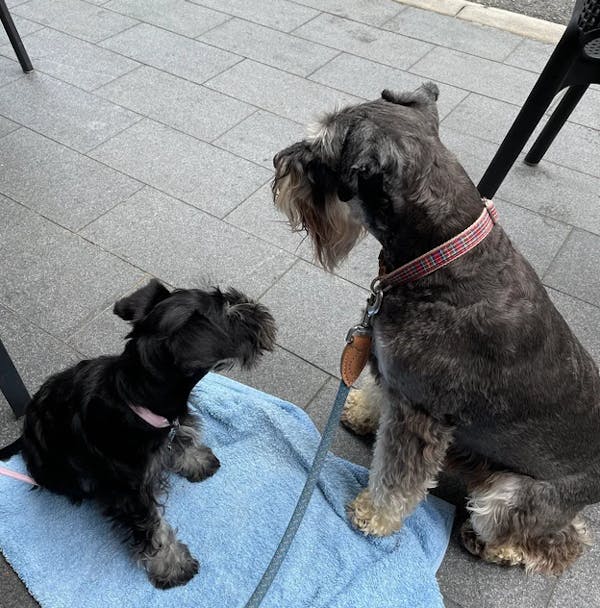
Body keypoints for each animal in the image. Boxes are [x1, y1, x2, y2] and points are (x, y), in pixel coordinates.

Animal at [0, 280, 276, 588]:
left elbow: (181, 438)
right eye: (230, 313)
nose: (255, 307)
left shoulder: (171, 423)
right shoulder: (130, 493)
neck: (135, 394)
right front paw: (173, 567)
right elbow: (153, 528)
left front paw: (197, 461)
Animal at [272, 82, 600, 576]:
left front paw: (373, 516)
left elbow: (397, 478)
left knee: (558, 539)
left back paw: (501, 548)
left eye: (319, 156)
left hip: (513, 497)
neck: (440, 256)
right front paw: (362, 412)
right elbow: (380, 398)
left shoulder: (421, 414)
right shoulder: (395, 377)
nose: (279, 163)